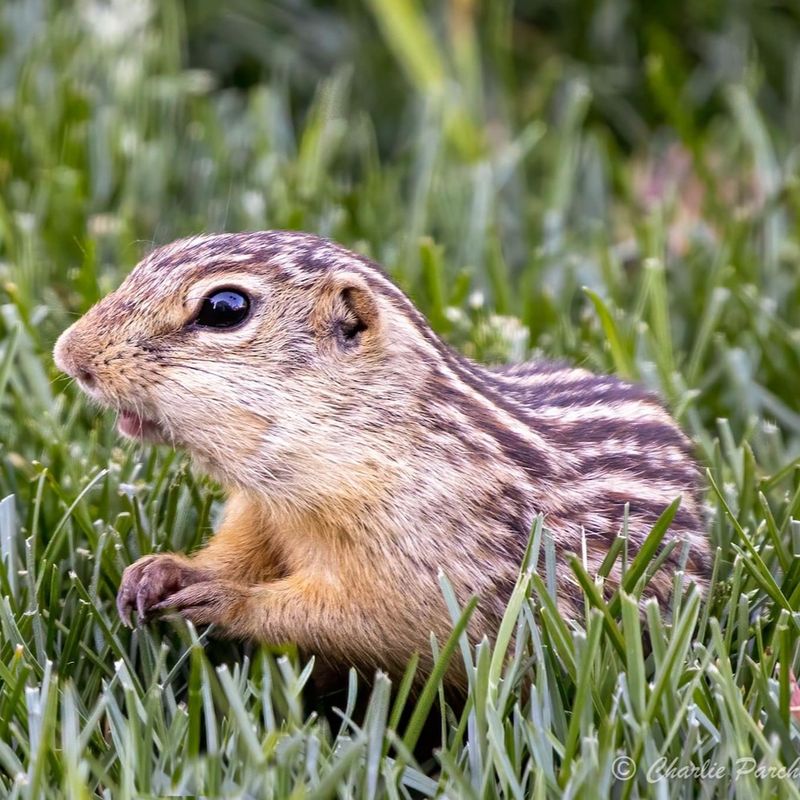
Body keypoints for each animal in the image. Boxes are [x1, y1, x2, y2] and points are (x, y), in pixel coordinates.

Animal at [54, 231, 709, 688]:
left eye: (225, 307)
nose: (67, 354)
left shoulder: (434, 563)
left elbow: (369, 621)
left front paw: (226, 601)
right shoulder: (260, 509)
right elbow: (238, 549)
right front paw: (163, 571)